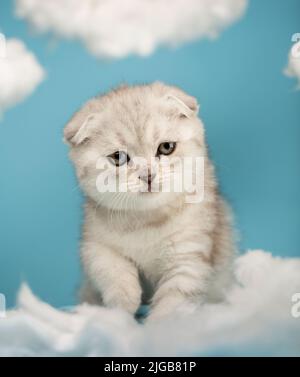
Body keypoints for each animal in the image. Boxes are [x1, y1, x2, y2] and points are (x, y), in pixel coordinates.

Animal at [64, 82, 236, 320]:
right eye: (118, 157)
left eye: (166, 147)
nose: (147, 176)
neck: (147, 221)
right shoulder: (93, 242)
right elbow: (110, 268)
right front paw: (122, 307)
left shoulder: (188, 258)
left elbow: (171, 304)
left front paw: (155, 327)